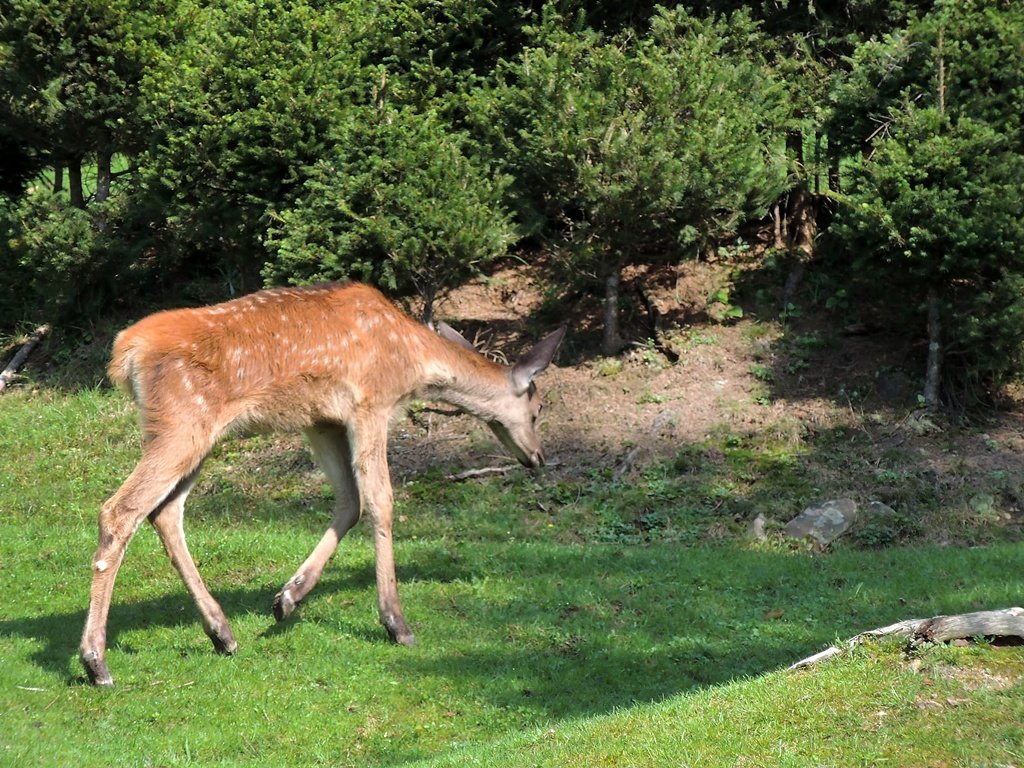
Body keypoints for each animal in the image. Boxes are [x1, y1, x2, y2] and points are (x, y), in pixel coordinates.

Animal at [77, 280, 569, 684]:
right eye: (538, 410)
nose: (539, 457)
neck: (414, 360)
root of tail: (126, 353)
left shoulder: (322, 420)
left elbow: (350, 501)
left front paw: (288, 598)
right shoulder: (371, 404)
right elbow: (380, 500)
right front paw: (396, 623)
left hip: (195, 436)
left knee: (164, 511)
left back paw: (222, 633)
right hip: (181, 422)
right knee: (120, 510)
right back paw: (96, 662)